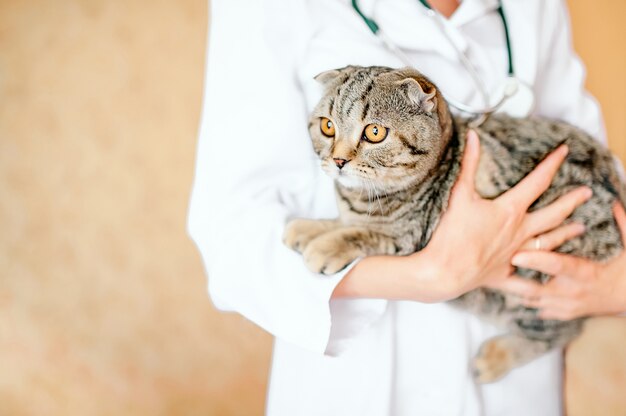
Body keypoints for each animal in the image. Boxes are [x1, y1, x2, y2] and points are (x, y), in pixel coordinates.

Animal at [282, 66, 624, 384]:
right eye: (327, 126)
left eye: (375, 132)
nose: (338, 161)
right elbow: (341, 221)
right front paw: (308, 228)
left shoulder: (417, 235)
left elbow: (365, 234)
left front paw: (327, 245)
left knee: (560, 332)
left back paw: (496, 357)